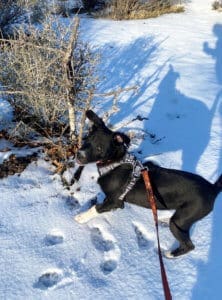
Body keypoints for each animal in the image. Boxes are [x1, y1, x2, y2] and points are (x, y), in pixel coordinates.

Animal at [75, 110, 222, 258]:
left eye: (99, 148)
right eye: (86, 139)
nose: (78, 155)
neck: (114, 163)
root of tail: (212, 188)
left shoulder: (115, 201)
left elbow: (95, 208)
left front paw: (81, 217)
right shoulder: (115, 202)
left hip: (180, 221)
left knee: (189, 245)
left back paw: (170, 254)